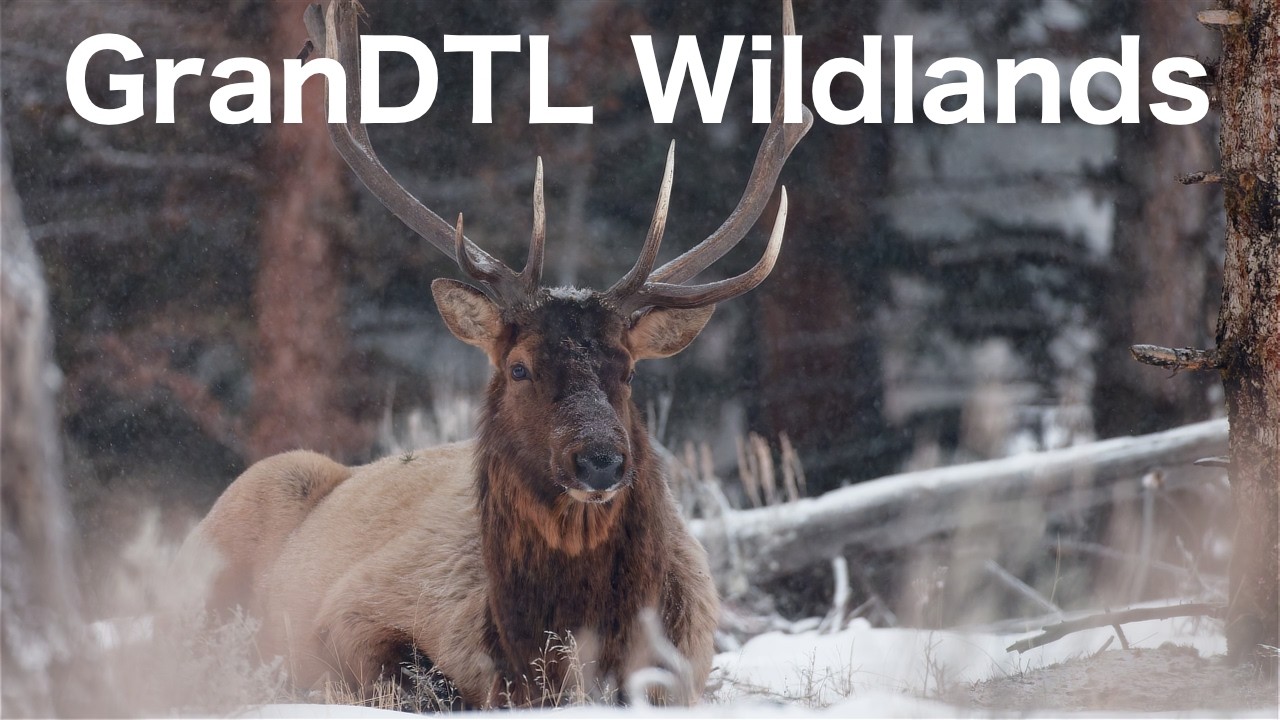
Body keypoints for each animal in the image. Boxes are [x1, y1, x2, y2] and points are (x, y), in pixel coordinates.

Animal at [183, 0, 811, 708]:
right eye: (519, 367)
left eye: (627, 371)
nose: (600, 459)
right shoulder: (349, 616)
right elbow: (422, 682)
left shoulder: (688, 659)